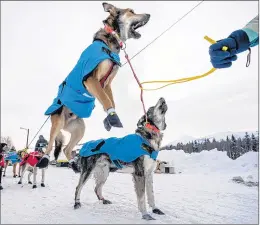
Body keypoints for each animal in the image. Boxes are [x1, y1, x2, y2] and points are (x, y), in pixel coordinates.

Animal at [39, 2, 151, 172]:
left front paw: (110, 118)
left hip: (79, 128)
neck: (109, 41)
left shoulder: (107, 83)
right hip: (57, 121)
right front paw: (113, 117)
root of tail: (65, 122)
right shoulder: (91, 79)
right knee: (51, 144)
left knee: (67, 149)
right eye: (131, 11)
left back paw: (74, 164)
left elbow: (109, 100)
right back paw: (45, 159)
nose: (149, 15)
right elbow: (105, 99)